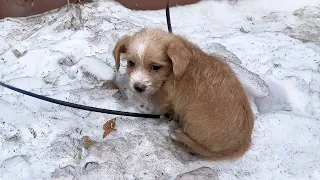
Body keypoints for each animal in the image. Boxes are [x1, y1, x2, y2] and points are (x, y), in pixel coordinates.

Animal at [114, 28, 254, 160]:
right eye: (131, 63)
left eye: (156, 67)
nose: (138, 87)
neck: (173, 71)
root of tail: (239, 146)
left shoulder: (165, 99)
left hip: (191, 113)